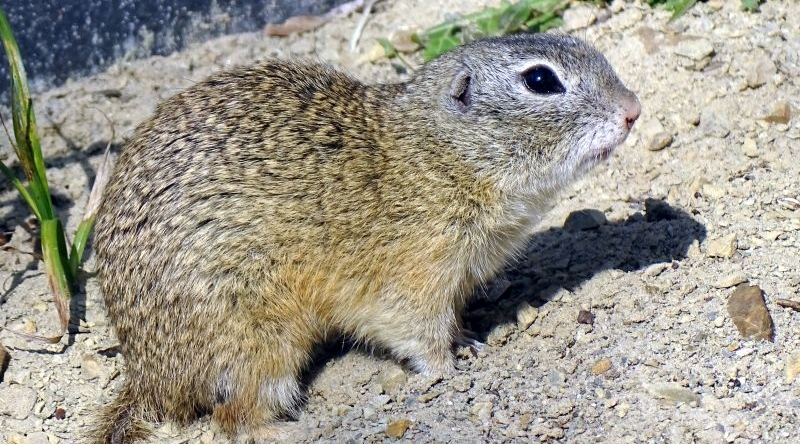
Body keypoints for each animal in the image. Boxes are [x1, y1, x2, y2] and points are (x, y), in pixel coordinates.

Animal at [90, 33, 640, 442]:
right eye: (540, 79)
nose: (633, 109)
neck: (441, 154)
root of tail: (148, 380)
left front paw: (469, 342)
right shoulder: (414, 280)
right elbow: (421, 335)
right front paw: (448, 368)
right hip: (260, 342)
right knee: (235, 420)